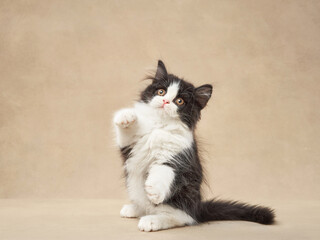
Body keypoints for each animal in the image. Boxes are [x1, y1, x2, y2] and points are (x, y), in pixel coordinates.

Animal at [113, 60, 276, 232]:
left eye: (179, 101)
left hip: (183, 199)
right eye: (161, 92)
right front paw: (125, 116)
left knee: (181, 218)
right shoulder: (129, 146)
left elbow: (163, 170)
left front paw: (153, 190)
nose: (165, 102)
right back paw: (133, 209)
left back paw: (151, 220)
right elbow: (126, 134)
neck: (159, 126)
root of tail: (198, 208)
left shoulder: (177, 158)